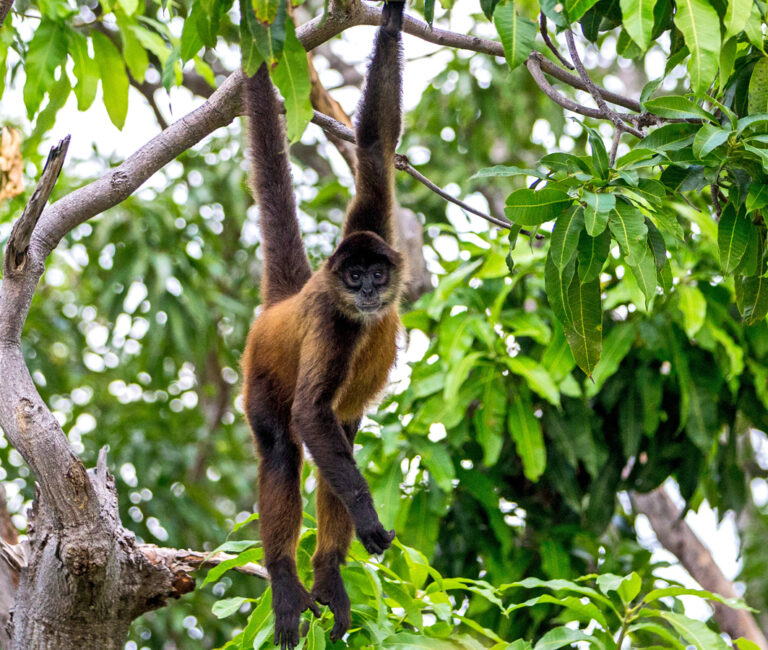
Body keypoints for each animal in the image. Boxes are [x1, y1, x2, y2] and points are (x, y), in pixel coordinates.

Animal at [240, 2, 406, 647]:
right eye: (353, 277)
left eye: (376, 273)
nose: (367, 291)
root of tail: (280, 304)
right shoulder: (334, 321)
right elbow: (309, 416)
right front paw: (369, 519)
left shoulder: (372, 225)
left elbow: (375, 142)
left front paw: (394, 21)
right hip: (261, 375)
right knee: (283, 447)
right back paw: (286, 579)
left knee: (343, 435)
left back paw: (328, 573)